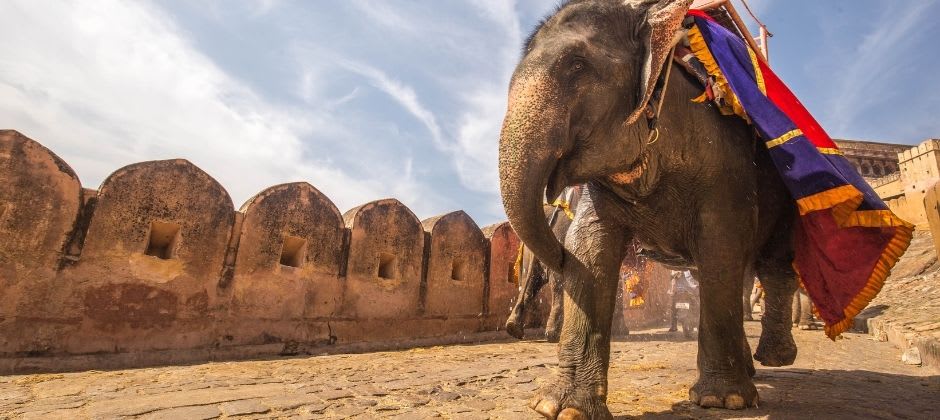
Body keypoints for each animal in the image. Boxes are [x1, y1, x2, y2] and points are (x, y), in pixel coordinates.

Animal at [498, 0, 802, 417]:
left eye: (577, 65)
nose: (555, 254)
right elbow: (589, 248)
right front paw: (560, 408)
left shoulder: (724, 163)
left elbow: (721, 244)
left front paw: (722, 400)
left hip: (783, 188)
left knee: (771, 265)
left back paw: (774, 358)